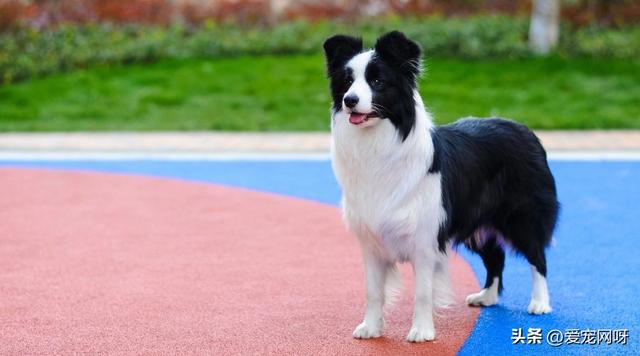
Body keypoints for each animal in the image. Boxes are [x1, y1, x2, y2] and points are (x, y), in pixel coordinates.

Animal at [322, 31, 556, 342]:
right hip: (477, 222)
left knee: (537, 257)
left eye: (377, 81)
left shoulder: (425, 240)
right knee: (496, 257)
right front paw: (371, 328)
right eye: (347, 82)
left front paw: (422, 331)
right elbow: (373, 291)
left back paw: (540, 303)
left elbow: (423, 292)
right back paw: (487, 297)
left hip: (521, 217)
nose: (350, 100)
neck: (379, 142)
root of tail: (524, 129)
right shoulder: (371, 241)